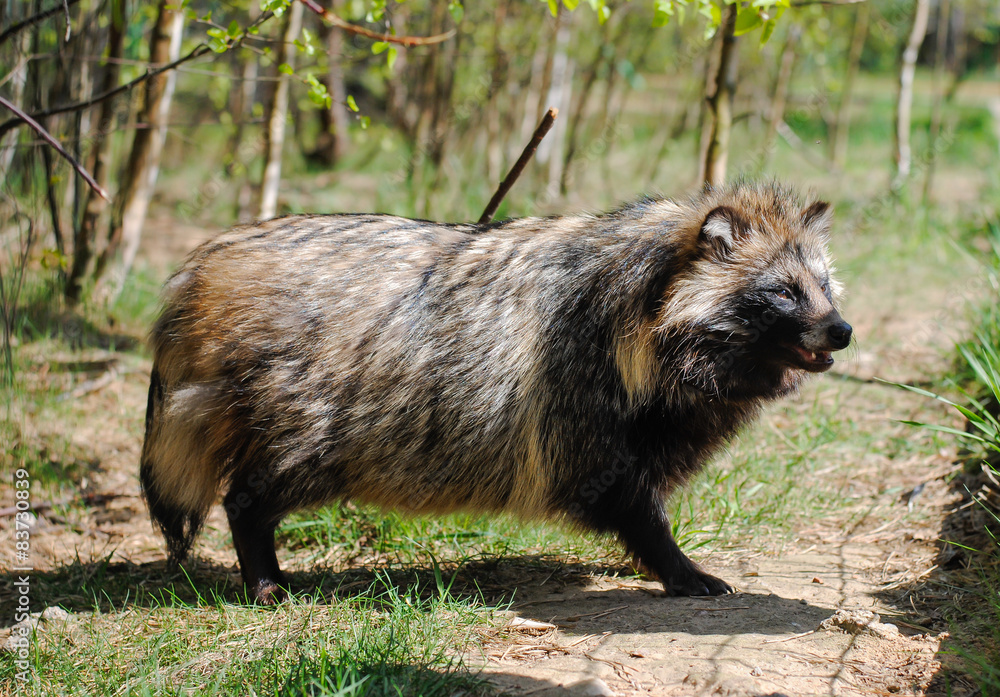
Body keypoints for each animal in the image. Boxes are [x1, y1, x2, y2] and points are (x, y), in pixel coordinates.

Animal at [140, 180, 852, 604]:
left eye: (823, 286)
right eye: (783, 292)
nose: (842, 330)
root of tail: (202, 266)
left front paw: (647, 559)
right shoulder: (579, 394)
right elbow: (627, 498)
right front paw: (672, 563)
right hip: (306, 416)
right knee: (252, 492)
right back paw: (262, 570)